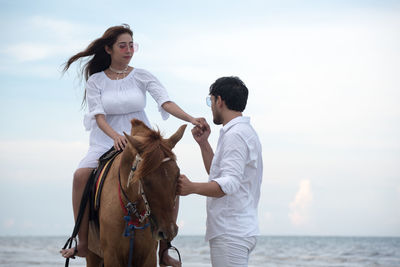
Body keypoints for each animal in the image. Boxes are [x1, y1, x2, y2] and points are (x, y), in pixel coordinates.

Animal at [86, 120, 186, 267]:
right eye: (144, 179)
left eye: (177, 175)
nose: (169, 231)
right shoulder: (111, 256)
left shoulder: (149, 257)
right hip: (92, 255)